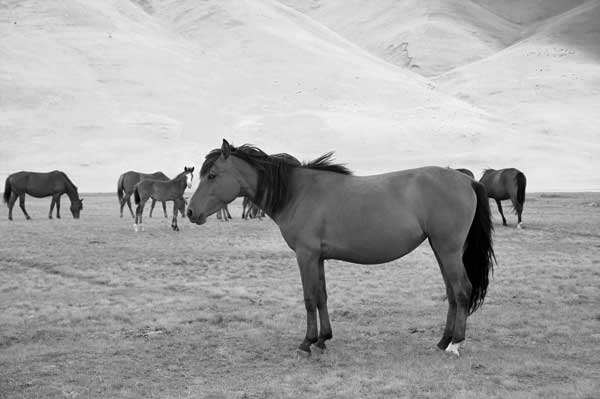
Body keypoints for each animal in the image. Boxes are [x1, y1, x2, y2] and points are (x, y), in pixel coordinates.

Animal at [189, 141, 496, 360]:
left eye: (212, 175)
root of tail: (466, 180)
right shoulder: (317, 258)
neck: (297, 193)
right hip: (441, 249)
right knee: (452, 294)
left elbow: (309, 299)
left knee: (462, 290)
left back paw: (455, 345)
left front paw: (306, 343)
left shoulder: (305, 256)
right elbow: (322, 297)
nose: (191, 212)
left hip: (448, 249)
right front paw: (323, 339)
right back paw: (443, 341)